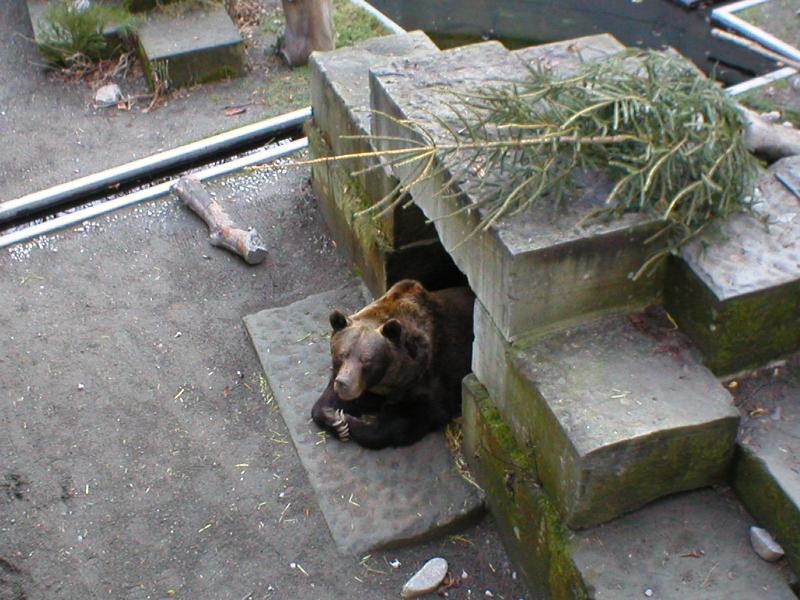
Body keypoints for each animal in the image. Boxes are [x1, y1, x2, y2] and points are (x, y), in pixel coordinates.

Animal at [311, 279, 475, 449]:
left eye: (366, 359)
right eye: (342, 354)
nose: (344, 383)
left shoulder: (428, 378)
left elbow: (411, 418)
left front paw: (349, 422)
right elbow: (327, 400)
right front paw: (336, 420)